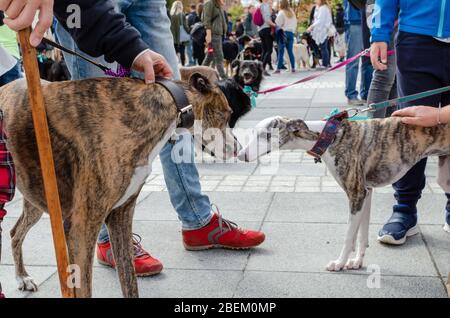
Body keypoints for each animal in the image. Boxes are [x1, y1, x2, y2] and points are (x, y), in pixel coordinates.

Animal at [239, 115, 450, 272]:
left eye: (266, 134)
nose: (240, 156)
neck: (329, 137)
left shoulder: (356, 194)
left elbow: (349, 236)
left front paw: (339, 263)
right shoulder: (366, 192)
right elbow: (361, 234)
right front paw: (356, 262)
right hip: (445, 177)